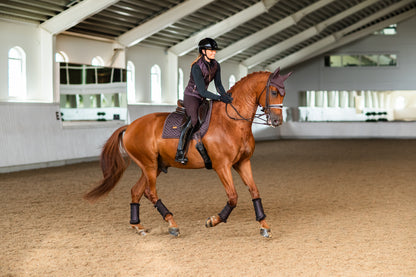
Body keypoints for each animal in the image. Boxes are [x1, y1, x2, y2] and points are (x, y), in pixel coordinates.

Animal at [84, 67, 290, 237]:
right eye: (273, 92)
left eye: (284, 94)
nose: (277, 121)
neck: (231, 122)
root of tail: (130, 126)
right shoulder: (222, 166)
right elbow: (233, 197)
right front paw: (213, 221)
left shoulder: (243, 163)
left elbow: (254, 192)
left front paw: (264, 225)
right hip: (149, 165)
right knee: (150, 193)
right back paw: (172, 224)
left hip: (155, 166)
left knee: (136, 191)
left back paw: (138, 226)